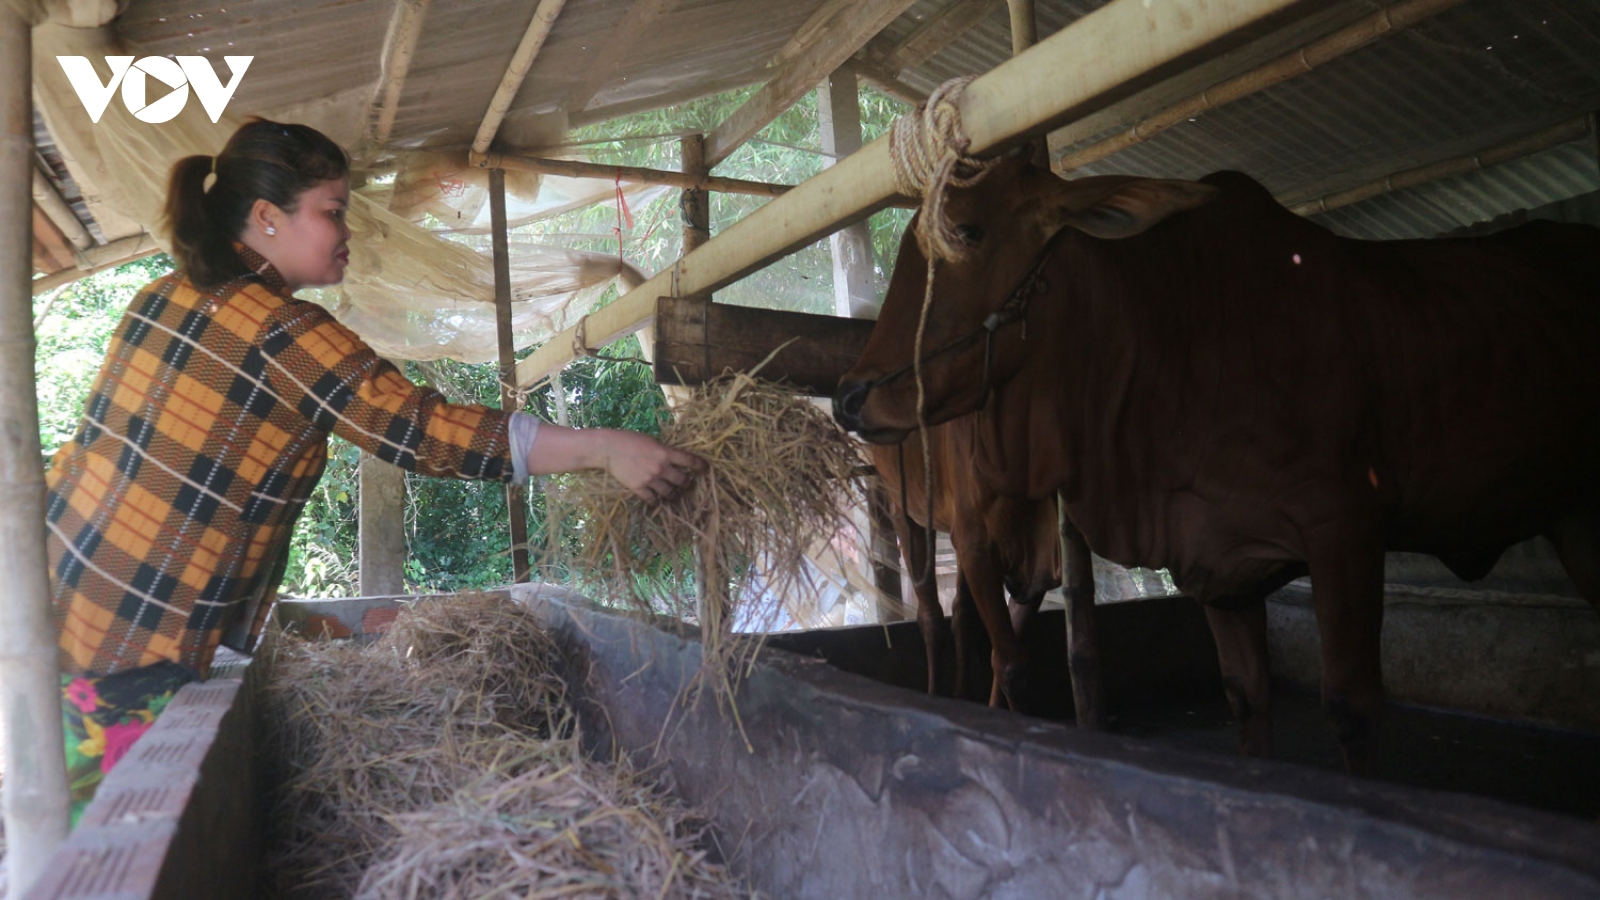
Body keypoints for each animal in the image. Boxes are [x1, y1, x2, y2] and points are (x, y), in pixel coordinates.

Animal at [870, 419, 1056, 707]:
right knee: (930, 613)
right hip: (906, 507)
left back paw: (962, 693)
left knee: (960, 608)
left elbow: (1006, 649)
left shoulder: (1038, 566)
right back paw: (935, 692)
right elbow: (1012, 666)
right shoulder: (977, 547)